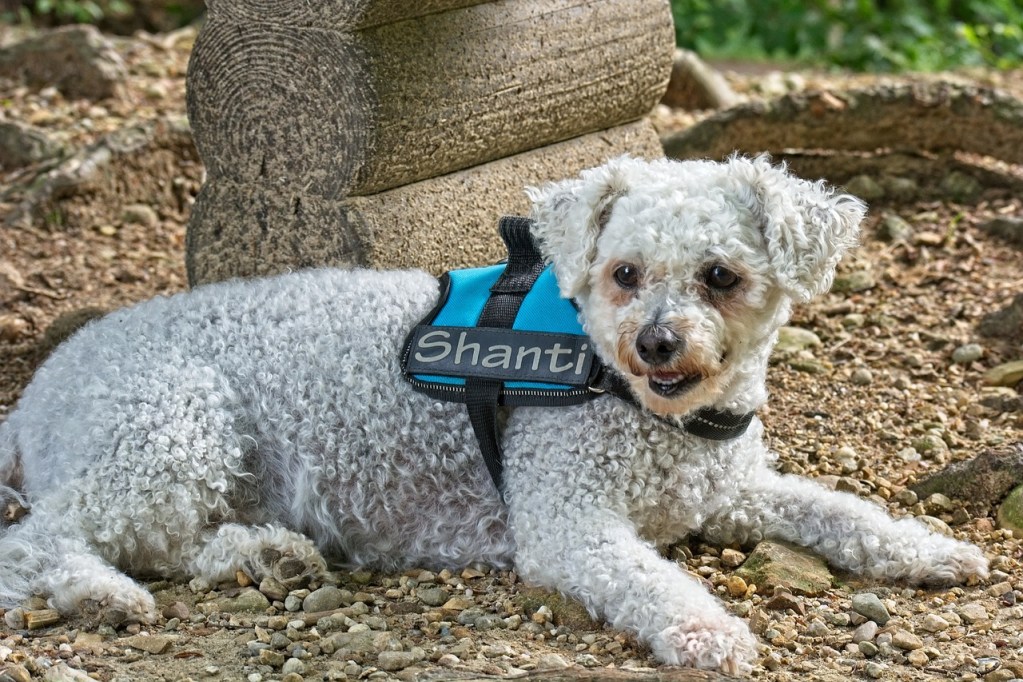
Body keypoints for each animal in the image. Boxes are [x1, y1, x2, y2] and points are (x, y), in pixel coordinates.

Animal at [0, 157, 990, 674]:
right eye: (624, 272)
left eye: (719, 275)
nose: (655, 344)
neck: (640, 410)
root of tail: (40, 388)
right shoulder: (568, 522)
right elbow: (651, 578)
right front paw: (705, 629)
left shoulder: (731, 491)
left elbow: (843, 513)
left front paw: (928, 549)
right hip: (170, 425)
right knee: (43, 540)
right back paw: (101, 593)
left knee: (173, 539)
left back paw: (263, 553)